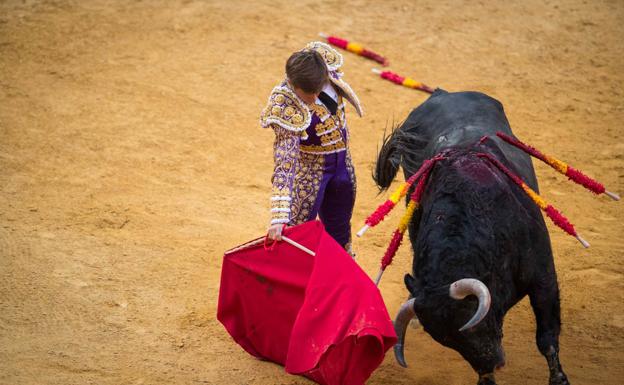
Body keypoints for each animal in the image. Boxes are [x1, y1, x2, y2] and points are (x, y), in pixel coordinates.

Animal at [376, 89, 572, 384]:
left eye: (470, 325)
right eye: (448, 342)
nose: (495, 363)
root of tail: (443, 93)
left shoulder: (543, 277)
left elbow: (547, 337)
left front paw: (559, 378)